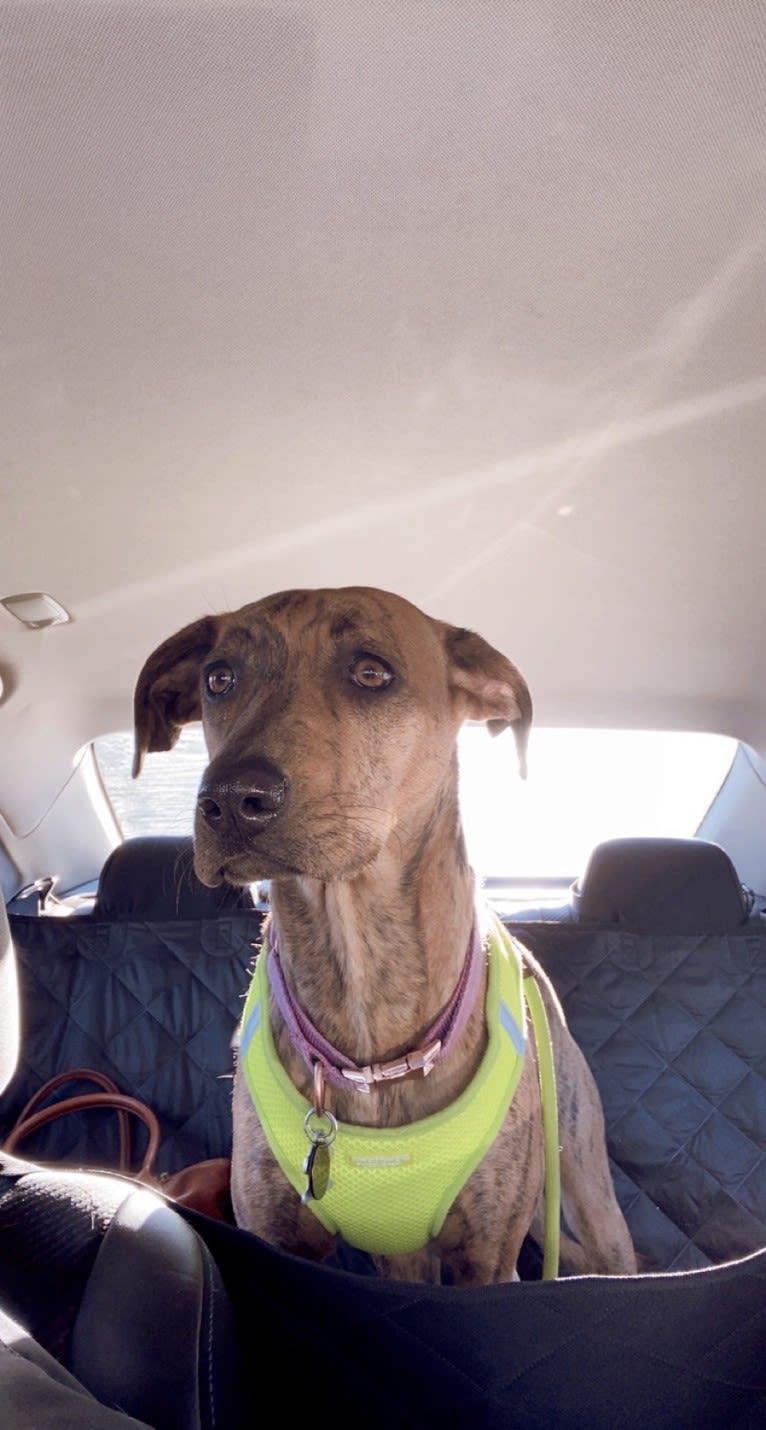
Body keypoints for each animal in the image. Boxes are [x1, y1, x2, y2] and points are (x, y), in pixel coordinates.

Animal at [132, 586, 634, 1281]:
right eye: (219, 679)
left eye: (372, 673)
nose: (230, 800)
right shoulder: (277, 1235)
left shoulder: (489, 1261)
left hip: (586, 1184)